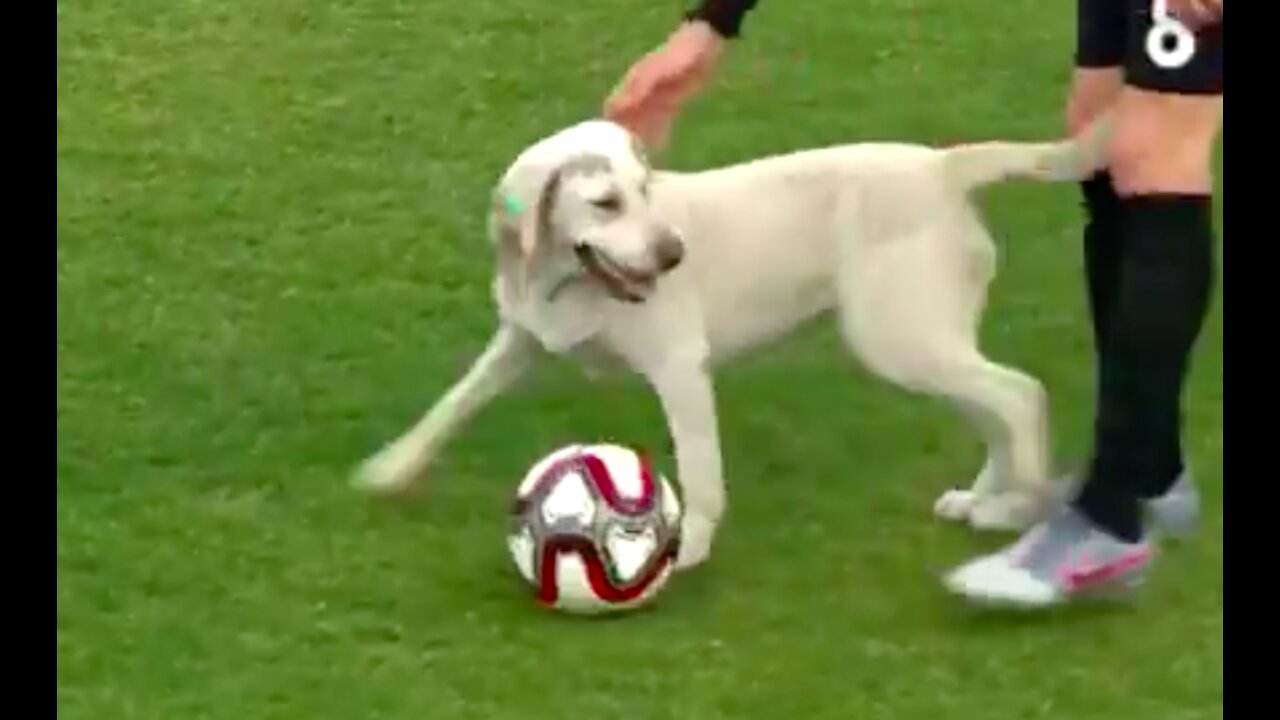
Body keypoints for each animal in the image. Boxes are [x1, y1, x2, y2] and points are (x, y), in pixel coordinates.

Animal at [353, 116, 1111, 566]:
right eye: (606, 203)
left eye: (645, 189)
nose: (673, 256)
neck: (566, 281)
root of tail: (943, 167)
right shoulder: (519, 343)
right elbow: (453, 404)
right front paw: (391, 469)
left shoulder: (679, 367)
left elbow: (700, 470)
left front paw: (686, 550)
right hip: (920, 340)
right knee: (996, 405)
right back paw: (980, 500)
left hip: (898, 339)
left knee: (1020, 395)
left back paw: (1015, 508)